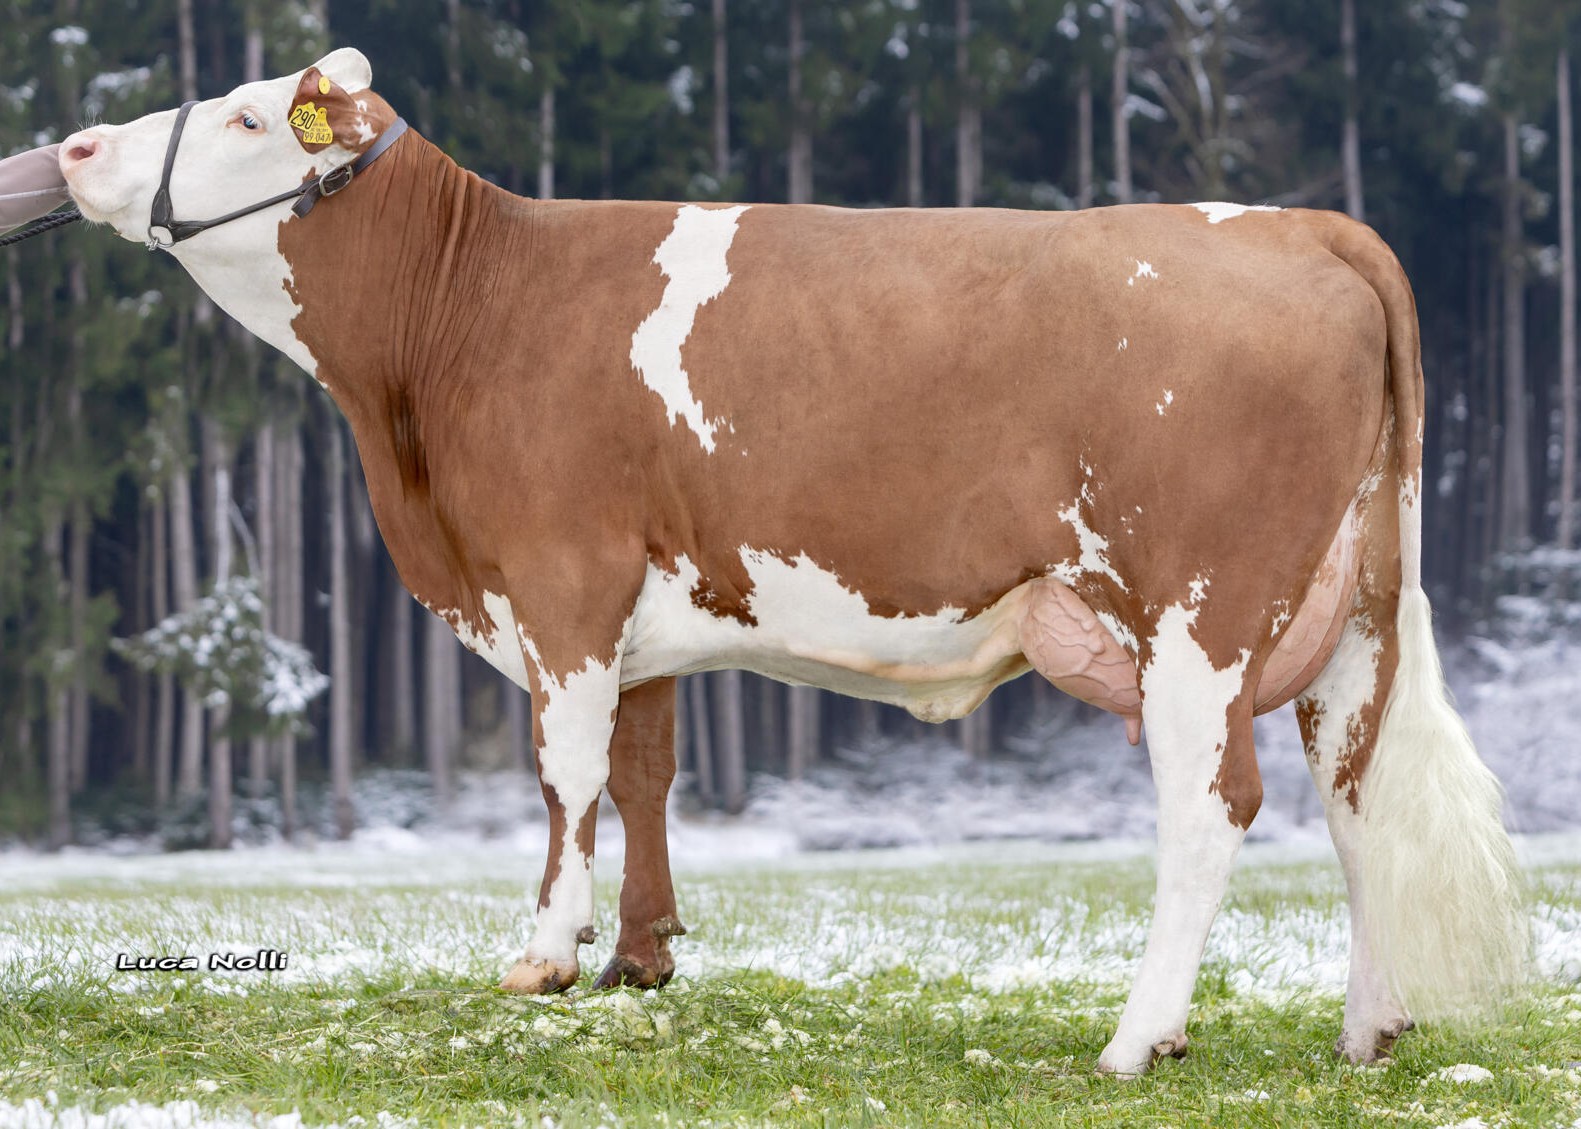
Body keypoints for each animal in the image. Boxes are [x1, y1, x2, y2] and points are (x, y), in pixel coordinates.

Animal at [58, 49, 1526, 1076]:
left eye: (250, 118)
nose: (74, 143)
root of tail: (1296, 221)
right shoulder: (638, 606)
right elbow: (643, 772)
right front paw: (637, 958)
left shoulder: (559, 577)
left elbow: (566, 773)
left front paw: (542, 959)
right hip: (1351, 619)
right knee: (1353, 799)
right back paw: (1369, 1031)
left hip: (1200, 618)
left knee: (1213, 806)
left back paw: (1135, 1038)